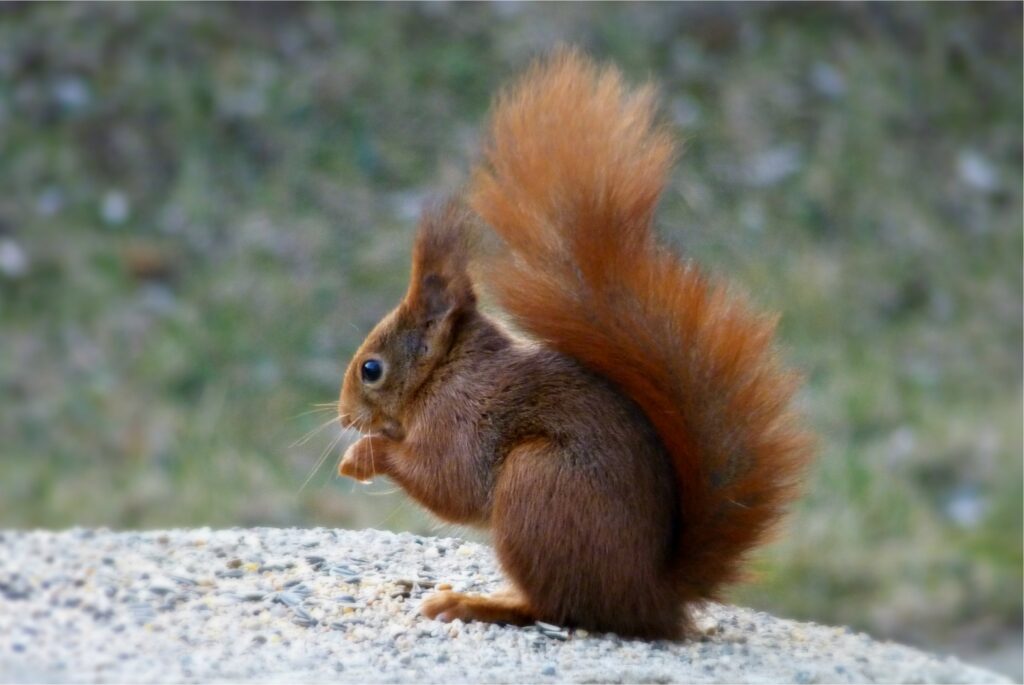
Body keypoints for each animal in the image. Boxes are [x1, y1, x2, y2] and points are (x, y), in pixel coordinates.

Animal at [336, 50, 814, 640]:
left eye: (371, 369)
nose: (344, 417)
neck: (446, 373)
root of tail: (652, 598)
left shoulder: (464, 420)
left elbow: (450, 483)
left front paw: (364, 454)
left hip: (538, 486)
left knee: (557, 606)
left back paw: (478, 604)